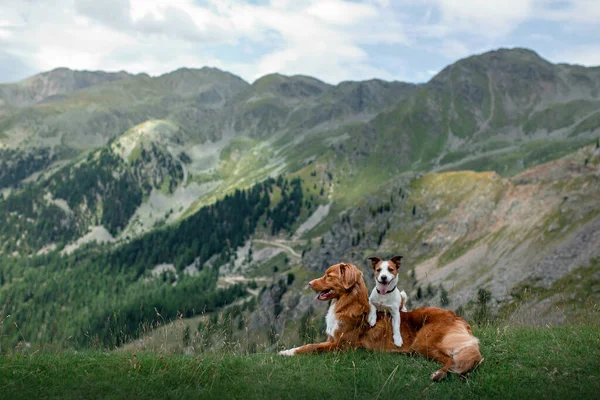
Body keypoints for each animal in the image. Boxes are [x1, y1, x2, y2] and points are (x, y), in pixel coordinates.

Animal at [278, 262, 482, 382]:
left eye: (329, 275)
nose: (310, 283)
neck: (346, 304)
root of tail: (457, 317)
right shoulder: (331, 339)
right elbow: (310, 344)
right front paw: (288, 350)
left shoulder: (342, 345)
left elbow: (311, 347)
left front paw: (287, 352)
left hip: (424, 342)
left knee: (454, 359)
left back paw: (439, 374)